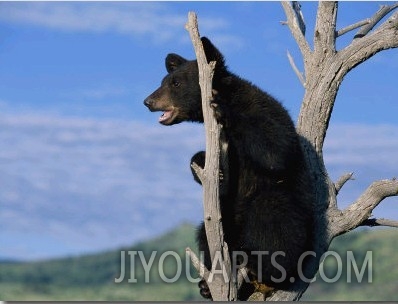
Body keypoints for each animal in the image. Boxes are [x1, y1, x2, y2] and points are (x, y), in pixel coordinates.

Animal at [143, 37, 314, 300]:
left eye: (175, 82)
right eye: (164, 81)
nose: (148, 101)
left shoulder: (264, 110)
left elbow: (275, 150)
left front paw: (222, 109)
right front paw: (207, 167)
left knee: (273, 213)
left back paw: (264, 268)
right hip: (228, 223)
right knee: (205, 233)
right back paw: (209, 284)